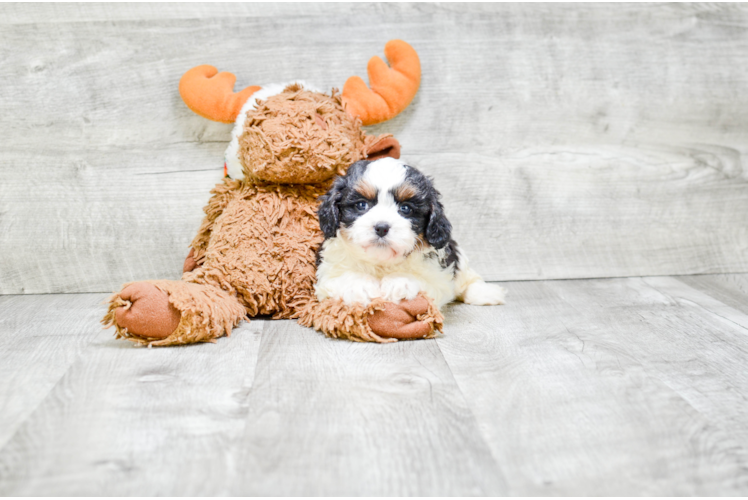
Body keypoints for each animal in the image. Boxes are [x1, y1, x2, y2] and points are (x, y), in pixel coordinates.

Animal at [312, 158, 506, 308]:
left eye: (405, 209)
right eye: (361, 205)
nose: (381, 227)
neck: (381, 263)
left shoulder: (439, 277)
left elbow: (426, 282)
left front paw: (400, 281)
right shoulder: (327, 272)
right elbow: (341, 278)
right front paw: (360, 285)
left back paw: (485, 292)